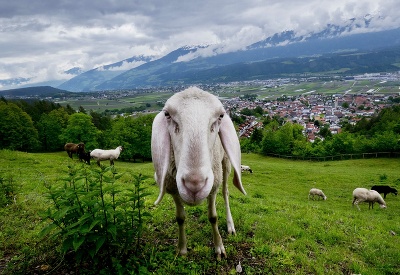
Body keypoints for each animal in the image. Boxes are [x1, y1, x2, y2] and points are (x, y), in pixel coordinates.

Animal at [152, 87, 247, 260]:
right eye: (167, 114)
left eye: (221, 116)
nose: (194, 184)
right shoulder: (172, 188)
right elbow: (180, 218)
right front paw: (182, 249)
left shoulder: (213, 186)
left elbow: (213, 217)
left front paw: (219, 248)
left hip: (225, 164)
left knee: (226, 192)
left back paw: (230, 226)